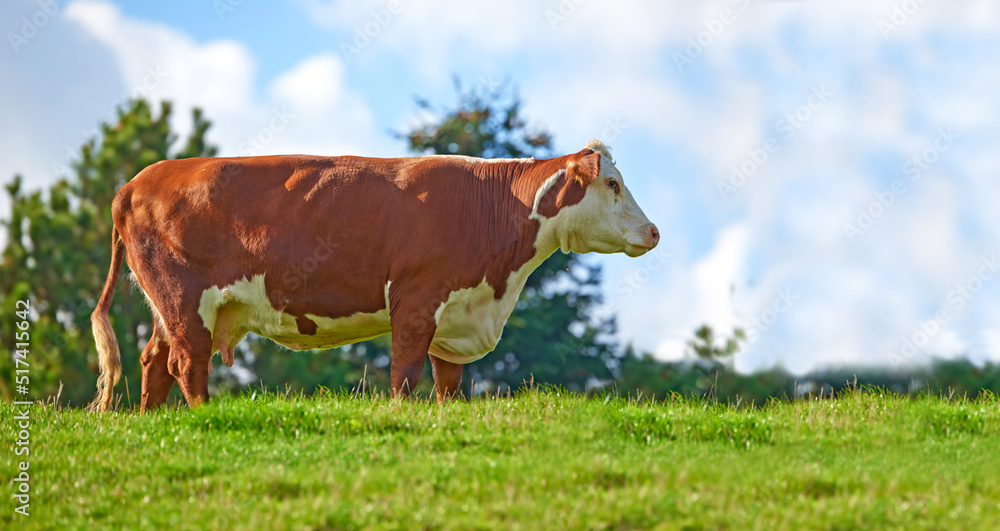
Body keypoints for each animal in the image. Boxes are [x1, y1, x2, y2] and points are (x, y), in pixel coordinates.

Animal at [90, 140, 660, 412]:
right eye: (611, 183)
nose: (654, 231)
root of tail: (138, 181)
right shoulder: (416, 300)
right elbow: (404, 372)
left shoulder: (453, 316)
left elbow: (448, 384)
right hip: (184, 298)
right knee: (187, 363)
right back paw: (205, 418)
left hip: (167, 305)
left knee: (154, 361)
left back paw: (153, 421)